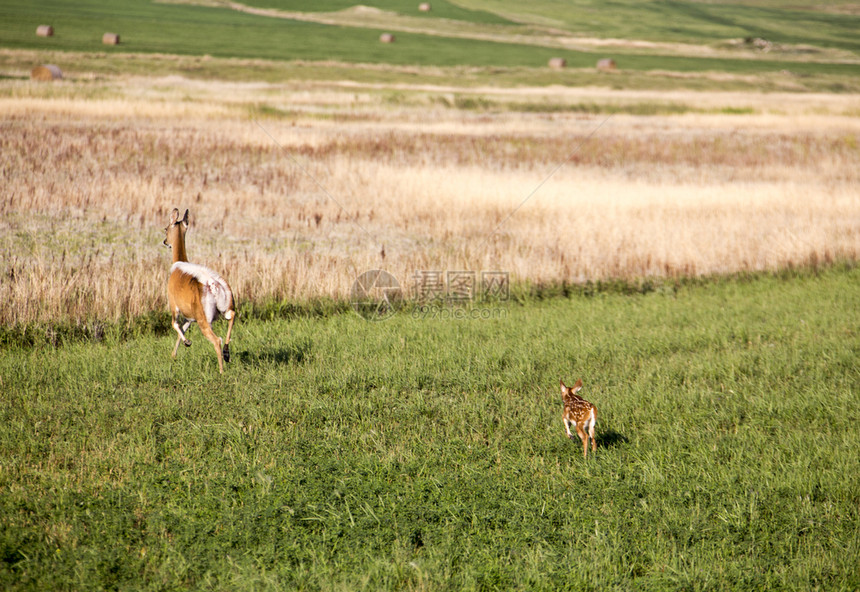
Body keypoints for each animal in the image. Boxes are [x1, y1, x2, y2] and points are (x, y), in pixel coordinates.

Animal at [163, 208, 237, 372]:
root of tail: (214, 286)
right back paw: (227, 354)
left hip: (204, 318)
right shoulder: (190, 317)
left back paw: (221, 371)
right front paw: (174, 354)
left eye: (165, 228)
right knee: (232, 316)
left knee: (216, 340)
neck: (178, 263)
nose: (165, 242)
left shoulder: (174, 305)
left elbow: (175, 325)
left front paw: (187, 343)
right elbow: (183, 329)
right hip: (226, 306)